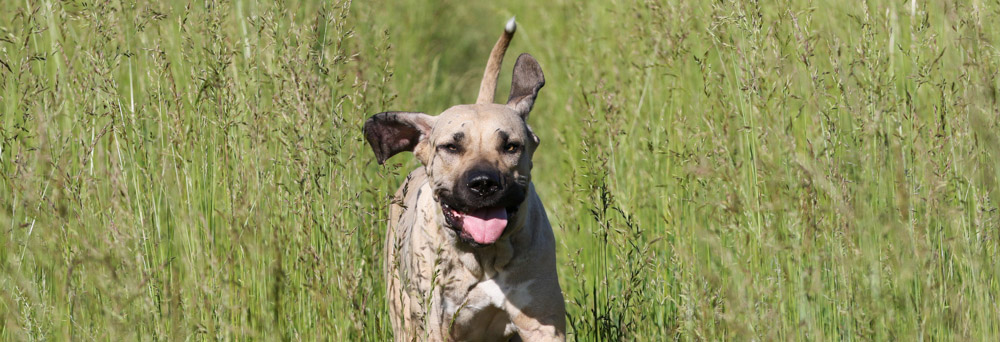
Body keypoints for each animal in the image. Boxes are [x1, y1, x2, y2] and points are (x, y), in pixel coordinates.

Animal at [366, 18, 572, 342]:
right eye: (451, 147)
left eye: (511, 146)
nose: (484, 183)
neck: (484, 257)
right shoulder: (435, 326)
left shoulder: (542, 325)